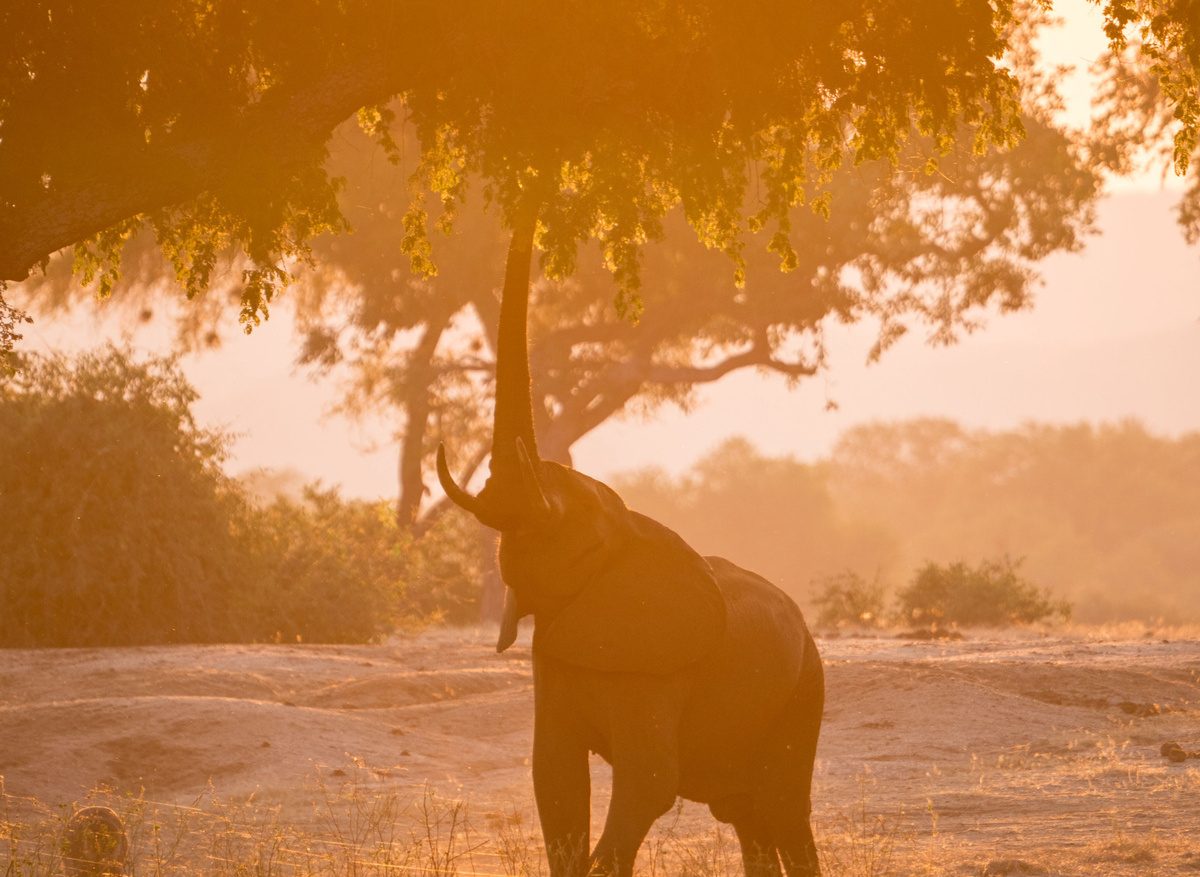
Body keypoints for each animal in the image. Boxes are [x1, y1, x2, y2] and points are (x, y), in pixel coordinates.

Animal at [436, 209, 824, 877]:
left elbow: (647, 783)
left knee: (782, 806)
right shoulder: (554, 652)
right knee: (748, 814)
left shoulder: (656, 664)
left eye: (559, 521)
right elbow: (555, 777)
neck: (625, 532)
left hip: (805, 689)